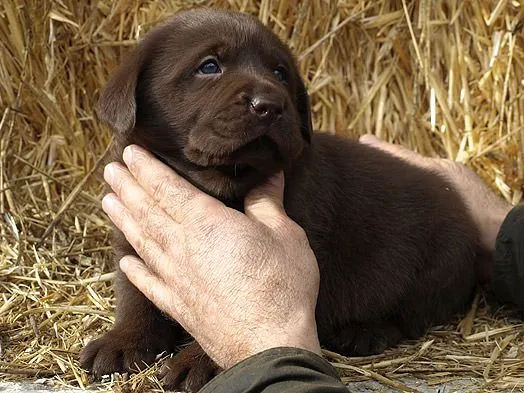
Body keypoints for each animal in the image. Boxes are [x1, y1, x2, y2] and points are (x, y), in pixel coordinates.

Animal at [80, 7, 490, 390]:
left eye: (280, 73)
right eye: (209, 66)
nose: (270, 104)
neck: (220, 181)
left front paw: (201, 361)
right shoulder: (132, 237)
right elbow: (135, 297)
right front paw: (123, 342)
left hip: (437, 266)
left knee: (408, 314)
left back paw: (364, 331)